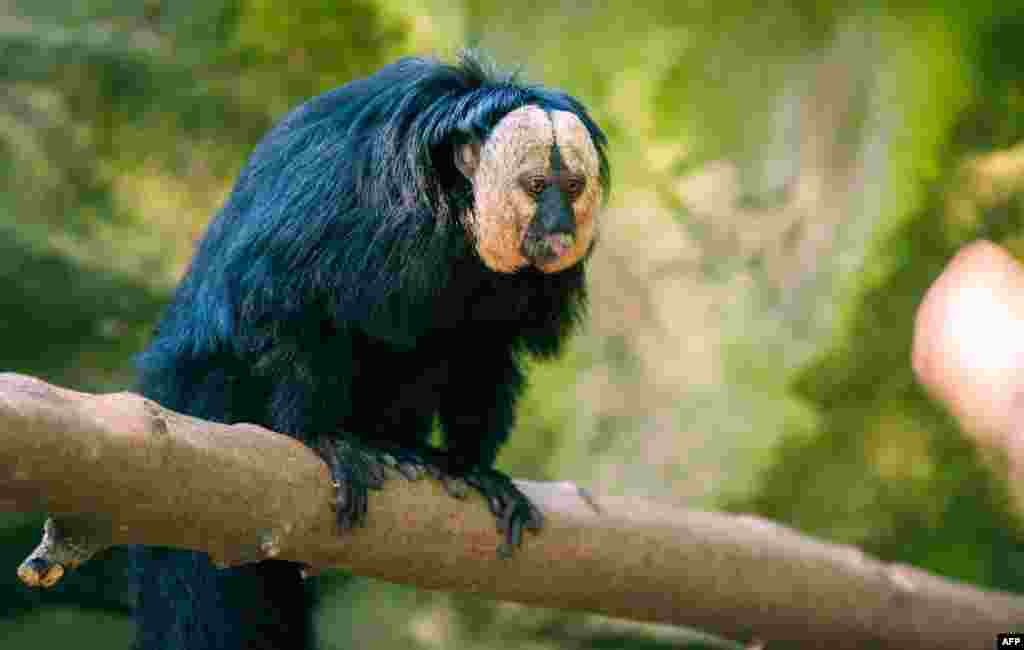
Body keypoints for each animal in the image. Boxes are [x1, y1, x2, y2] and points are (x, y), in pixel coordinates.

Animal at [128, 52, 606, 650]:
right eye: (538, 185)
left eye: (573, 186)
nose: (559, 224)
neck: (453, 208)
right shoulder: (353, 206)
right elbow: (285, 299)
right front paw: (323, 439)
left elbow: (482, 351)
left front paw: (472, 467)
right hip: (201, 392)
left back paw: (402, 446)